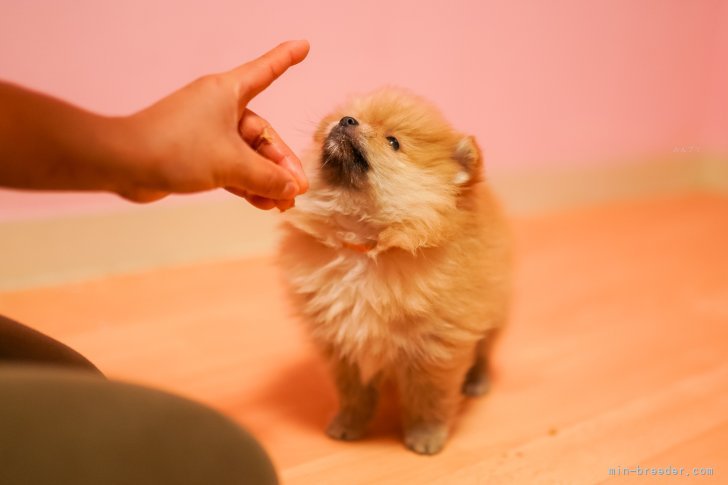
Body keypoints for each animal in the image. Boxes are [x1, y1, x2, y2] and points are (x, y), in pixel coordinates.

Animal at [278, 87, 512, 454]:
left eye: (393, 142)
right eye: (353, 116)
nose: (347, 120)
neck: (365, 245)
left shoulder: (437, 344)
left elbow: (430, 396)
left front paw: (426, 435)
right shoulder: (341, 339)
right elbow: (353, 393)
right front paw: (349, 424)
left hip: (493, 313)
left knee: (484, 351)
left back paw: (477, 381)